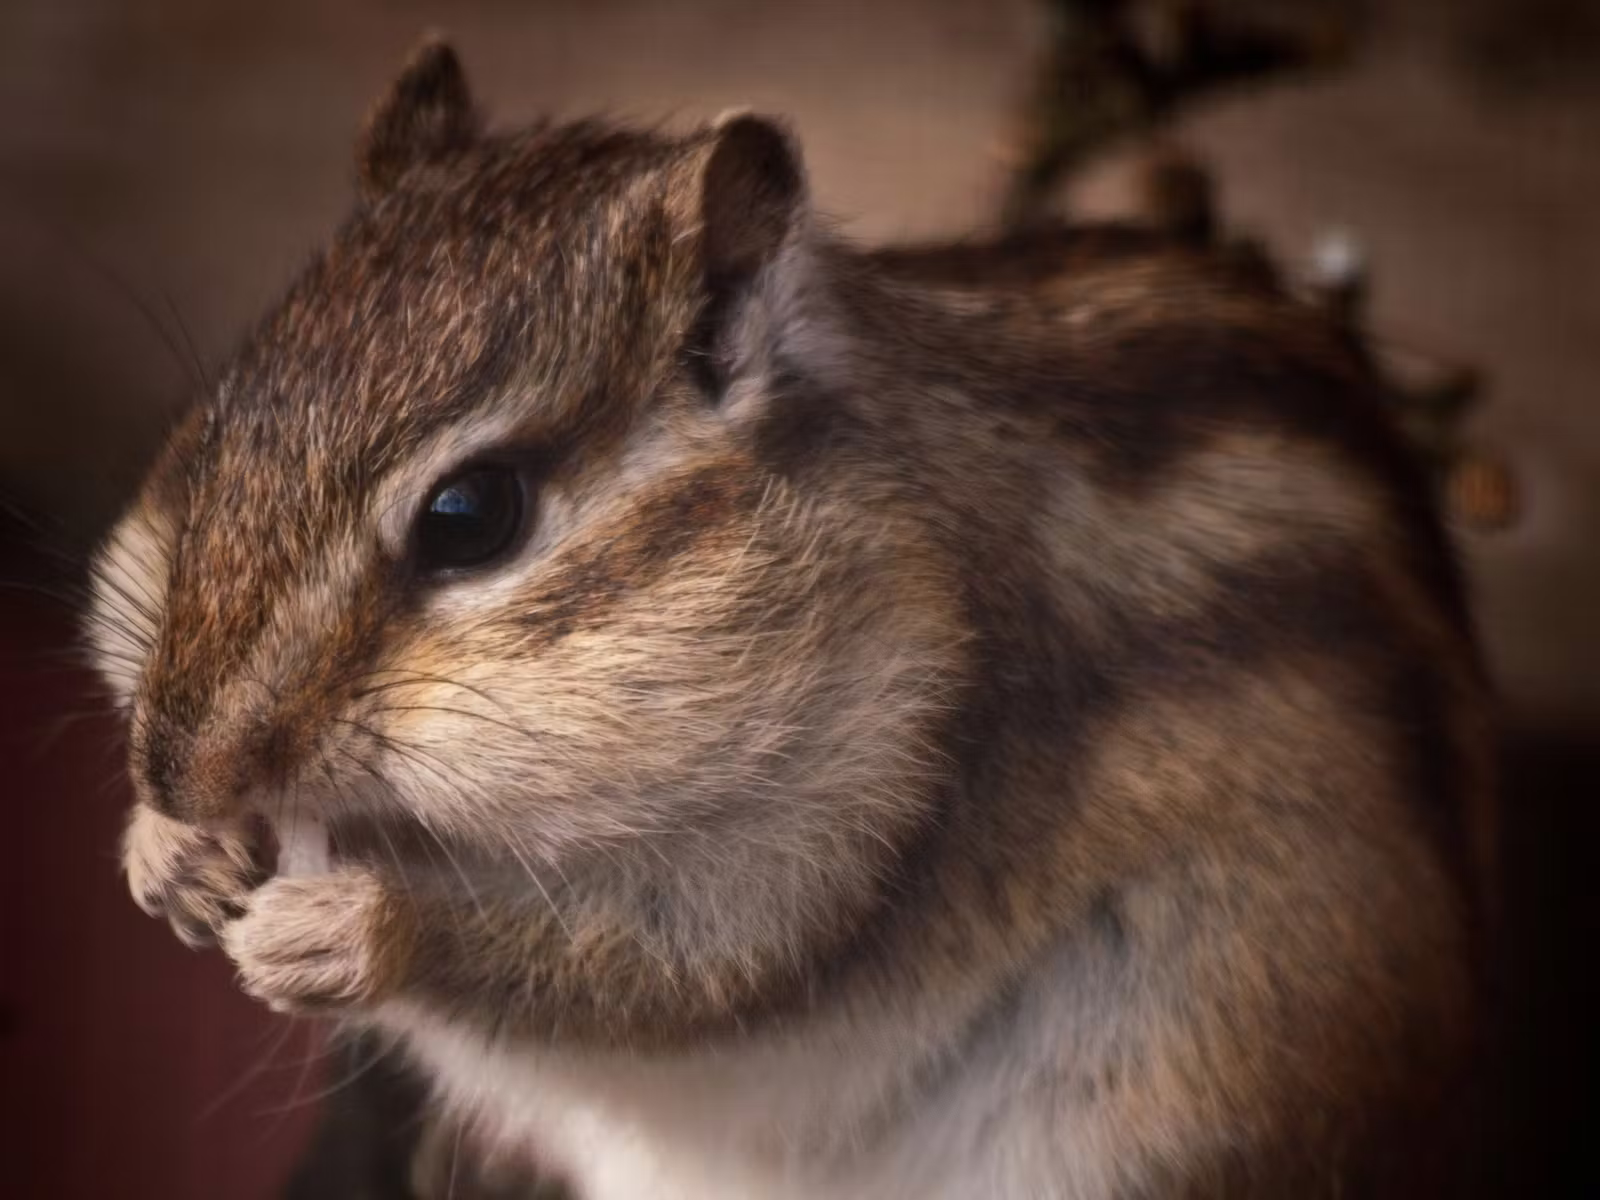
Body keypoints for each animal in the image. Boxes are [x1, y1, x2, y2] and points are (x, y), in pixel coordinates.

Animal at [89, 37, 1496, 1200]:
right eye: (221, 421)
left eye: (470, 515)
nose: (180, 771)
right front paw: (165, 856)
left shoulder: (863, 793)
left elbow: (684, 969)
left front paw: (347, 927)